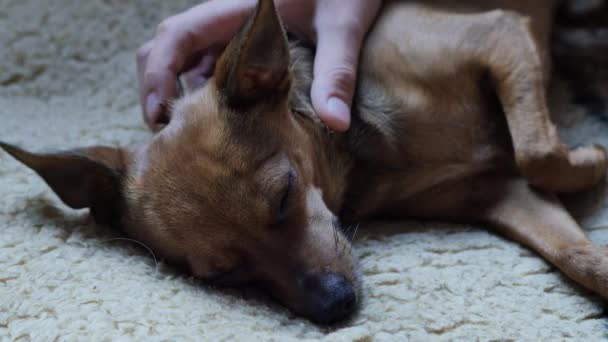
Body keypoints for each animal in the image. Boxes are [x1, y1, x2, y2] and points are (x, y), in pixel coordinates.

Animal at [1, 0, 608, 324]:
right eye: (225, 275)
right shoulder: (495, 191)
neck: (366, 163)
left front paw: (593, 155)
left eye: (286, 194)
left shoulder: (498, 35)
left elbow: (537, 152)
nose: (335, 307)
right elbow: (577, 253)